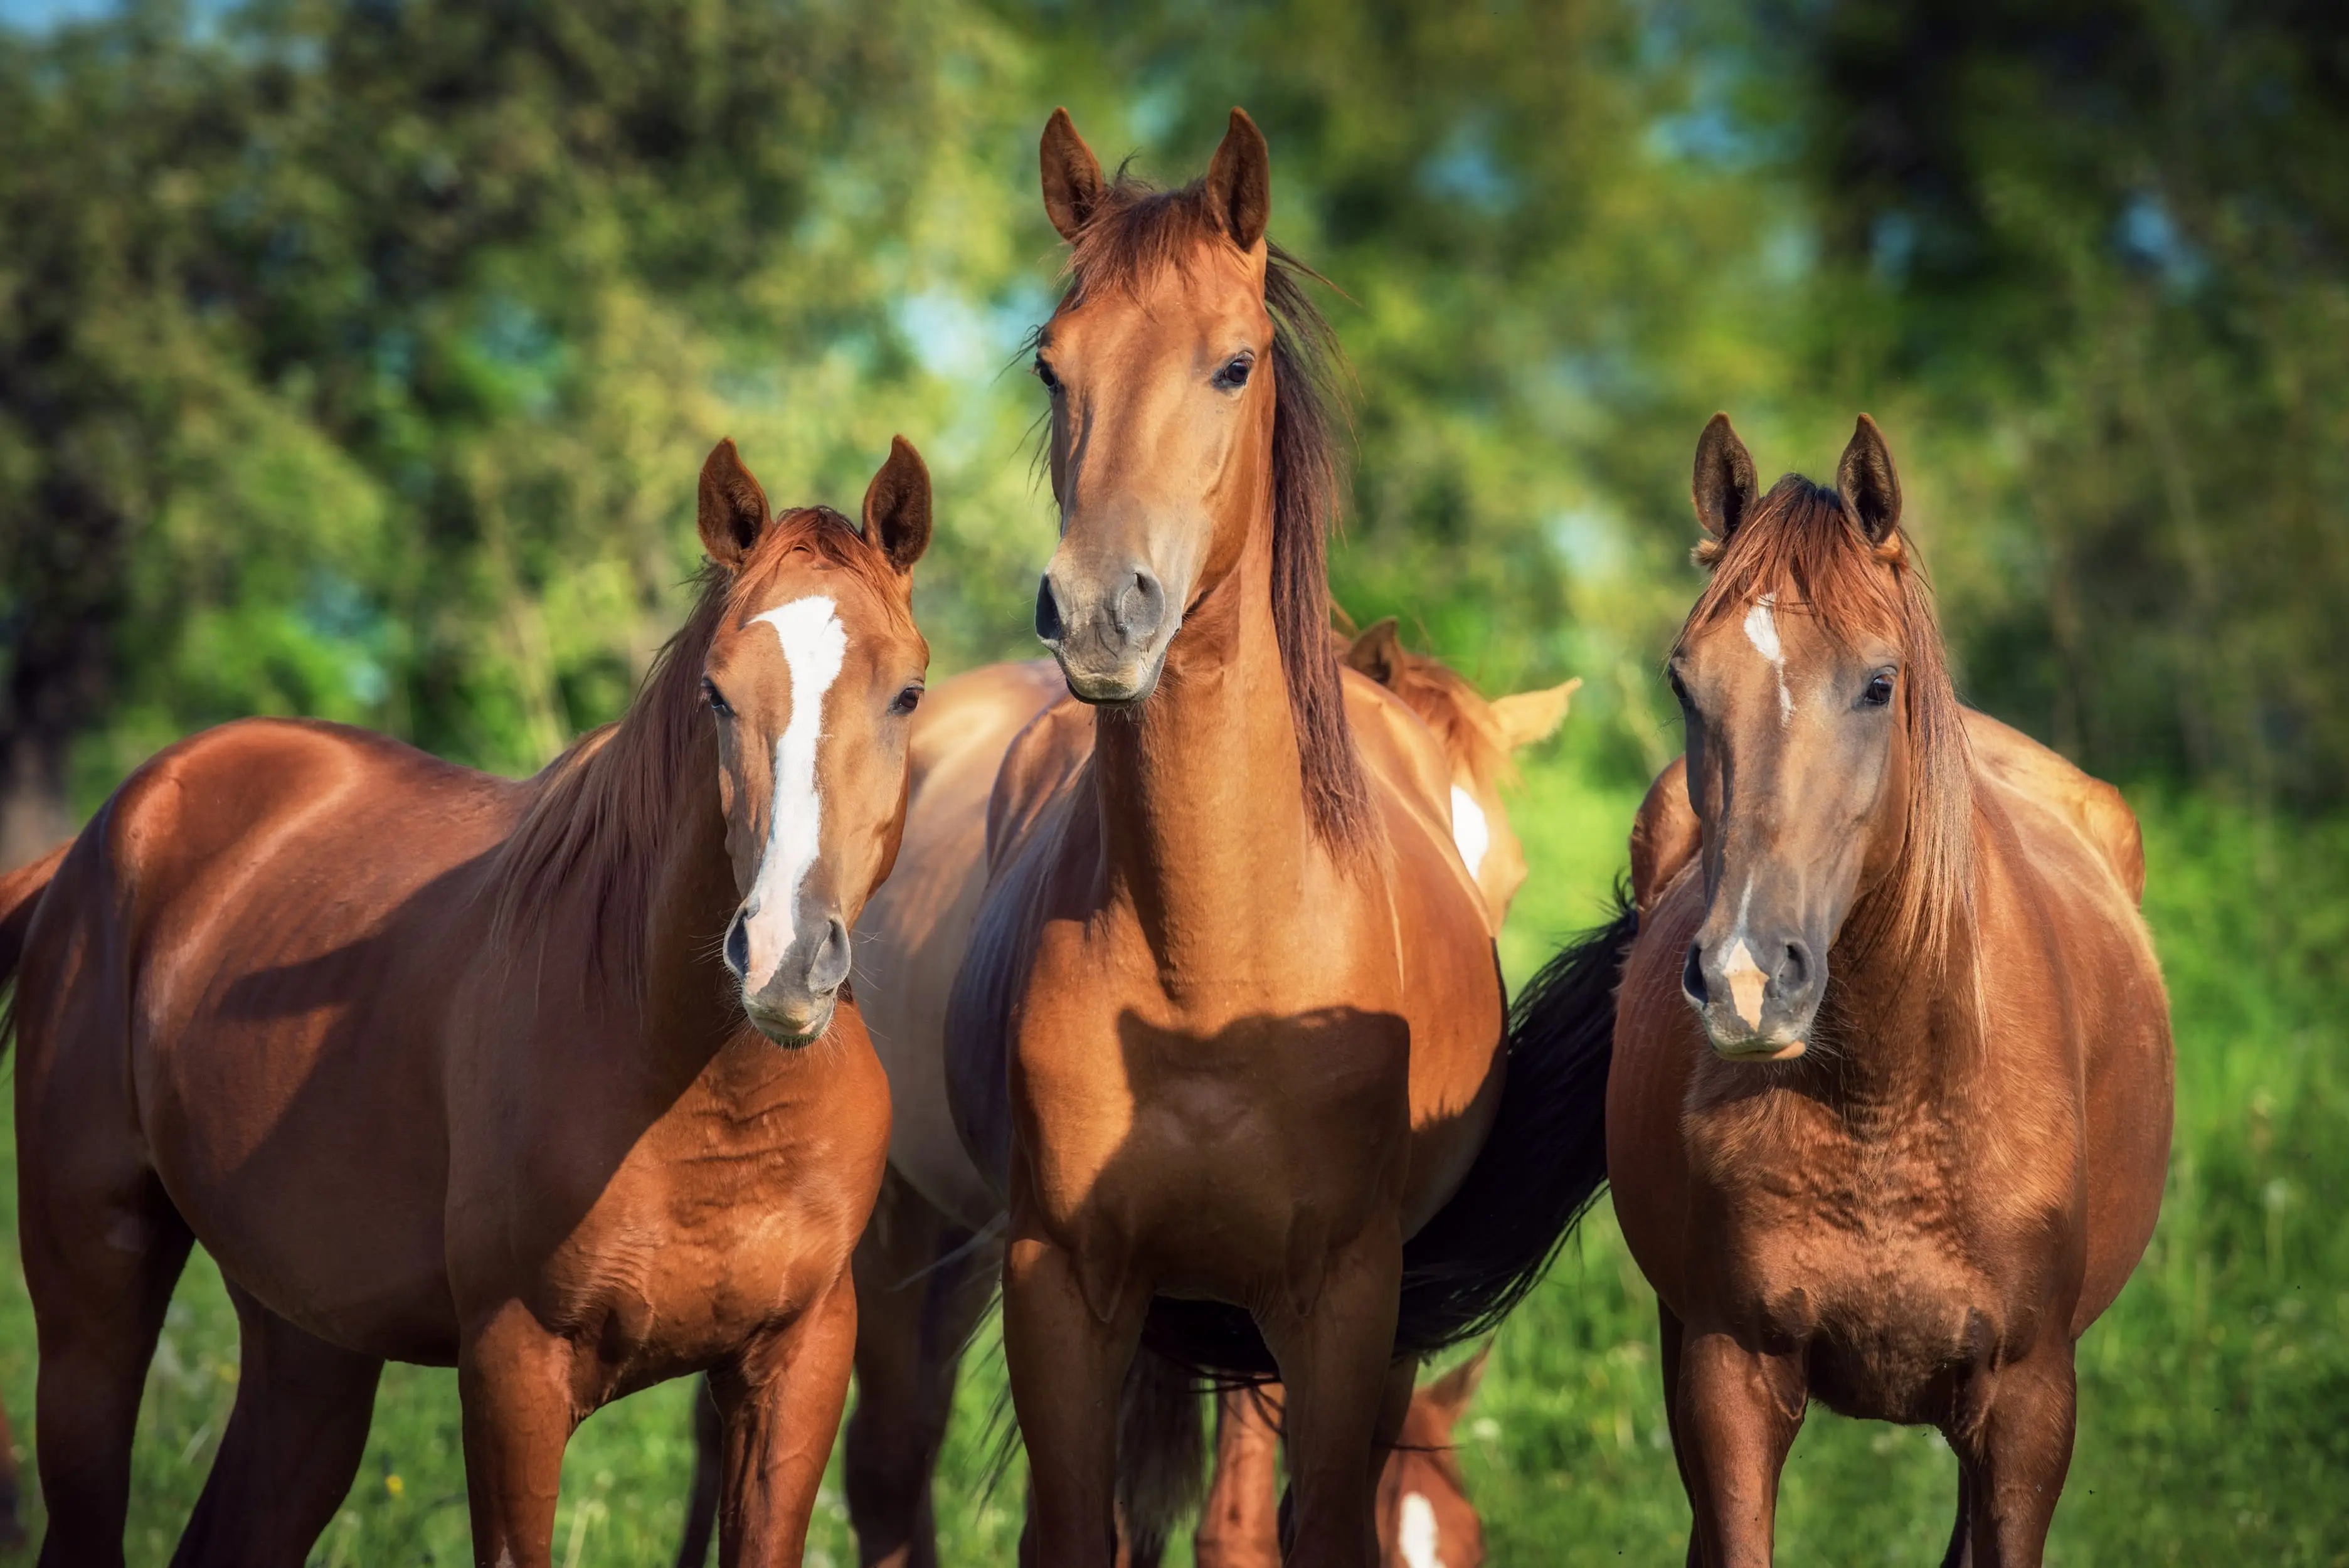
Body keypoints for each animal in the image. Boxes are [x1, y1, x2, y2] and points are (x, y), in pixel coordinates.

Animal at [7, 432, 944, 1568]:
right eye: (717, 694)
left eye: (907, 694)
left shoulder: (796, 1367)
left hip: (308, 1349)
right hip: (91, 1308)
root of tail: (108, 830)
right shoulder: (514, 1370)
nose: (785, 959)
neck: (705, 1099)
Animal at [1606, 413, 2170, 1568]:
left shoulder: (2029, 1406)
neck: (1888, 1090)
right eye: (1684, 683)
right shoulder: (1729, 1379)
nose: (1745, 979)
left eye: (1878, 683)